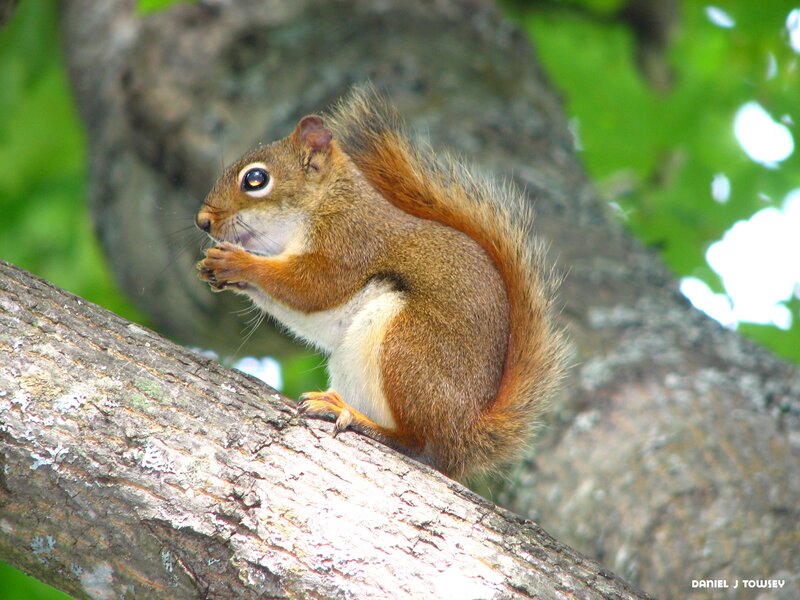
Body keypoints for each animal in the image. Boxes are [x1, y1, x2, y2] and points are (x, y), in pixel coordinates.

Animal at [196, 86, 566, 480]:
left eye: (255, 179)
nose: (202, 221)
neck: (326, 201)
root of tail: (463, 435)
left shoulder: (350, 243)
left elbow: (311, 288)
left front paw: (238, 262)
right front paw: (215, 269)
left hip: (405, 347)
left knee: (414, 441)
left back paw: (352, 416)